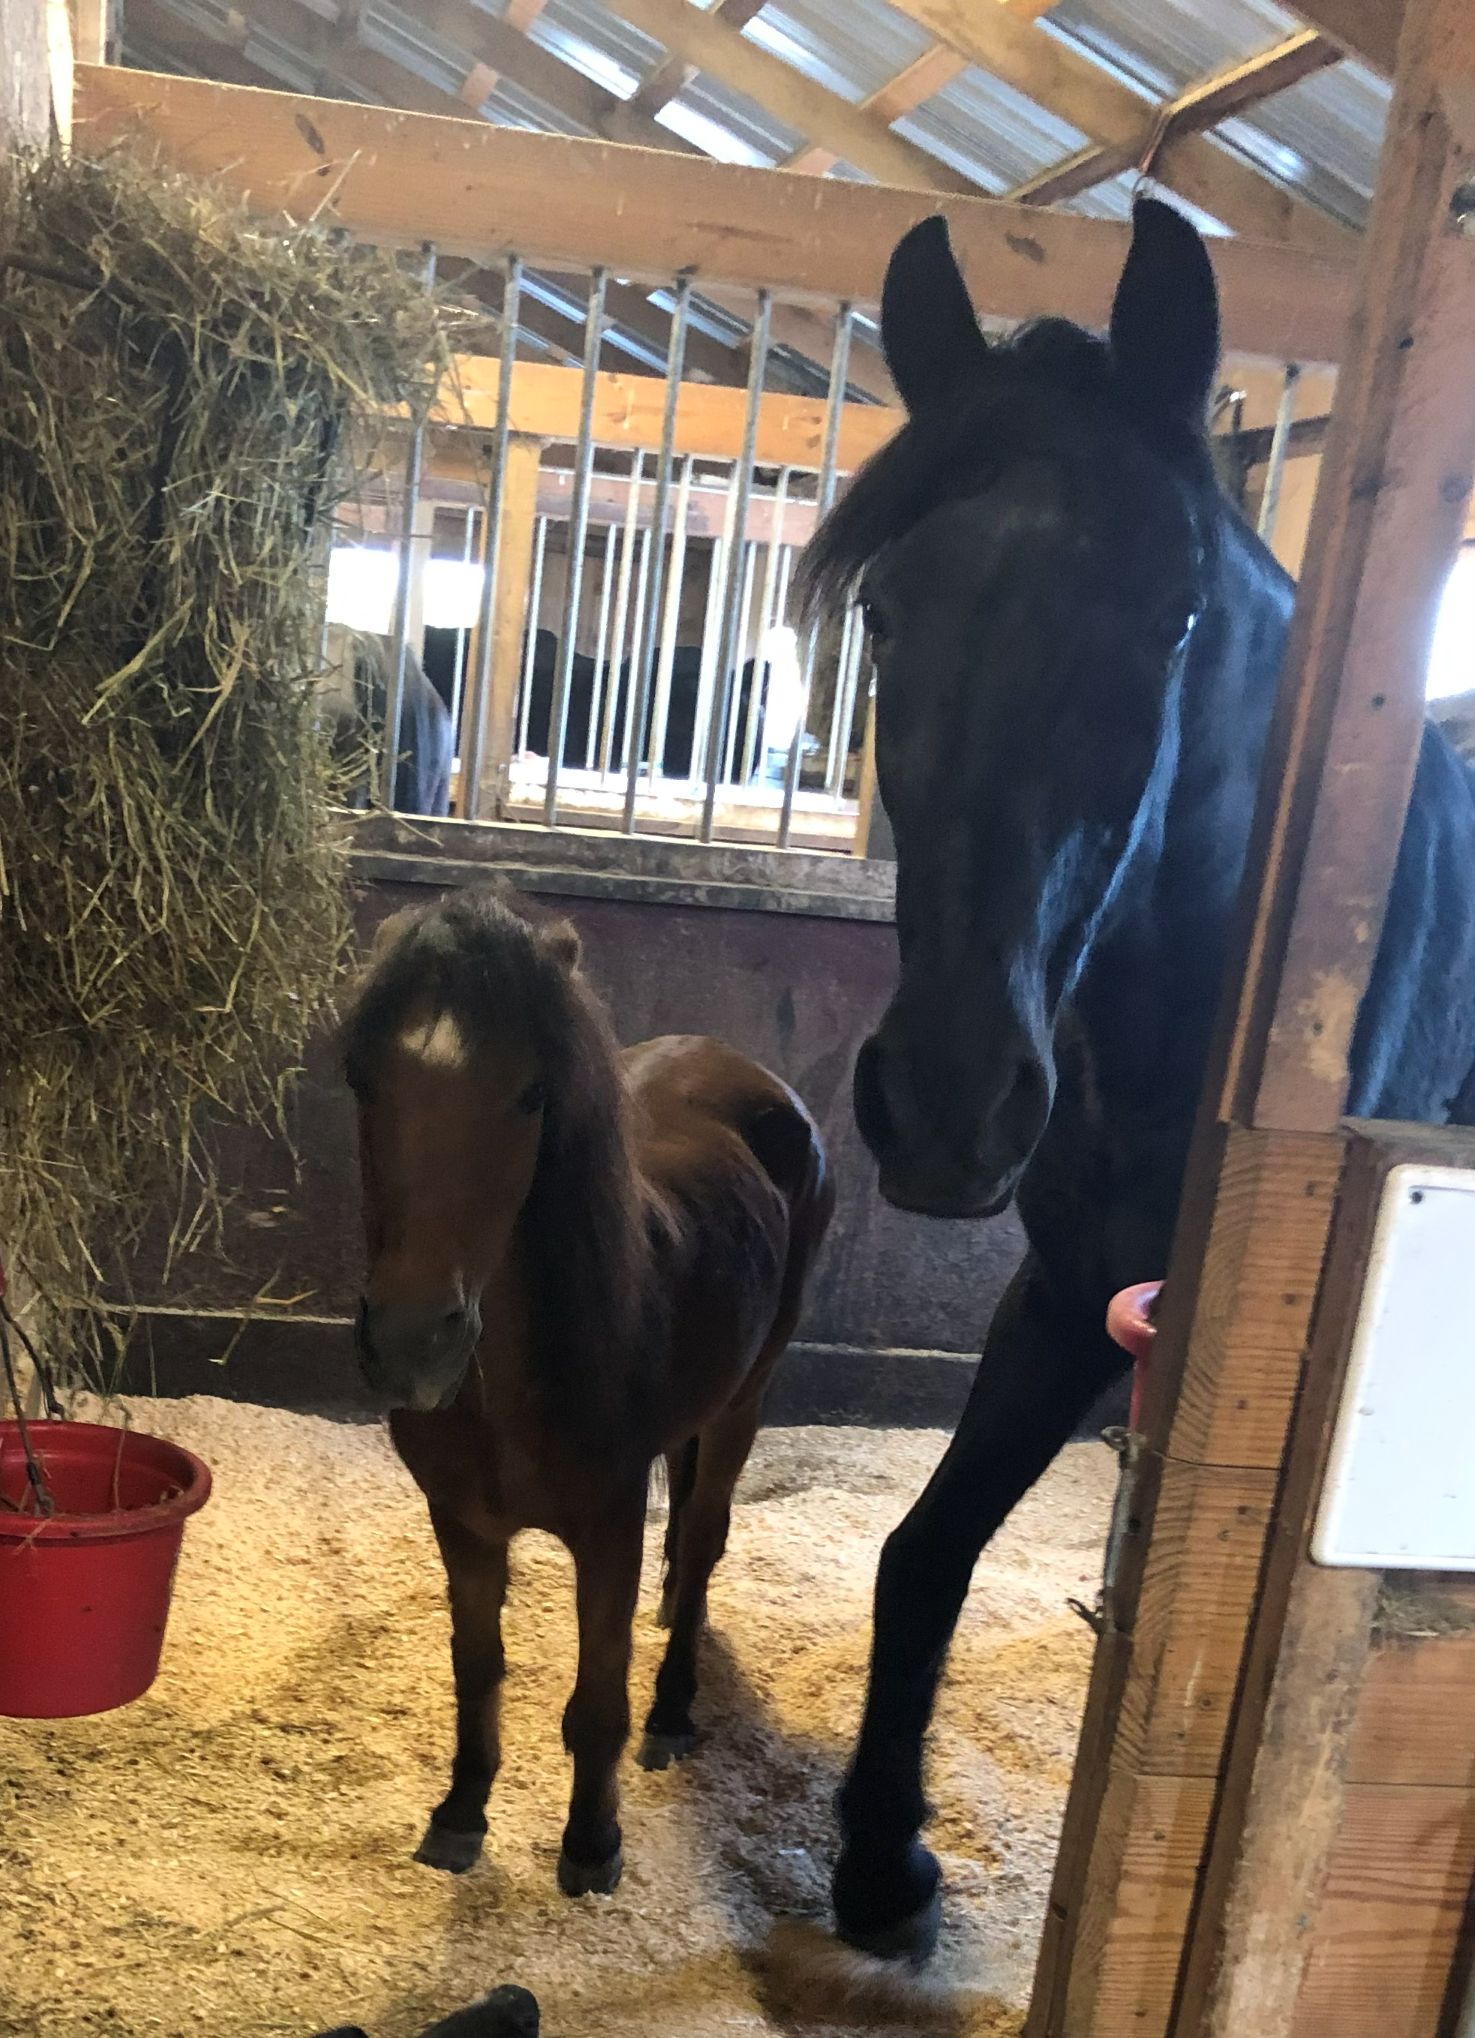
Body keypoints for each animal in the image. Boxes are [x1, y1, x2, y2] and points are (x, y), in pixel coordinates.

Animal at [341, 886, 834, 1898]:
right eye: (362, 1082)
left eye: (531, 1094)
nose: (410, 1344)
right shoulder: (462, 1524)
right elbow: (478, 1668)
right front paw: (460, 1814)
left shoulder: (607, 1528)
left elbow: (597, 1697)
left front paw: (592, 1843)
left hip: (745, 1400)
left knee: (704, 1542)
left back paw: (673, 1713)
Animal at [798, 197, 1475, 1961]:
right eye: (885, 610)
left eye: (1171, 616)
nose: (948, 1100)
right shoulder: (1066, 1292)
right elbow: (921, 1550)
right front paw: (879, 1858)